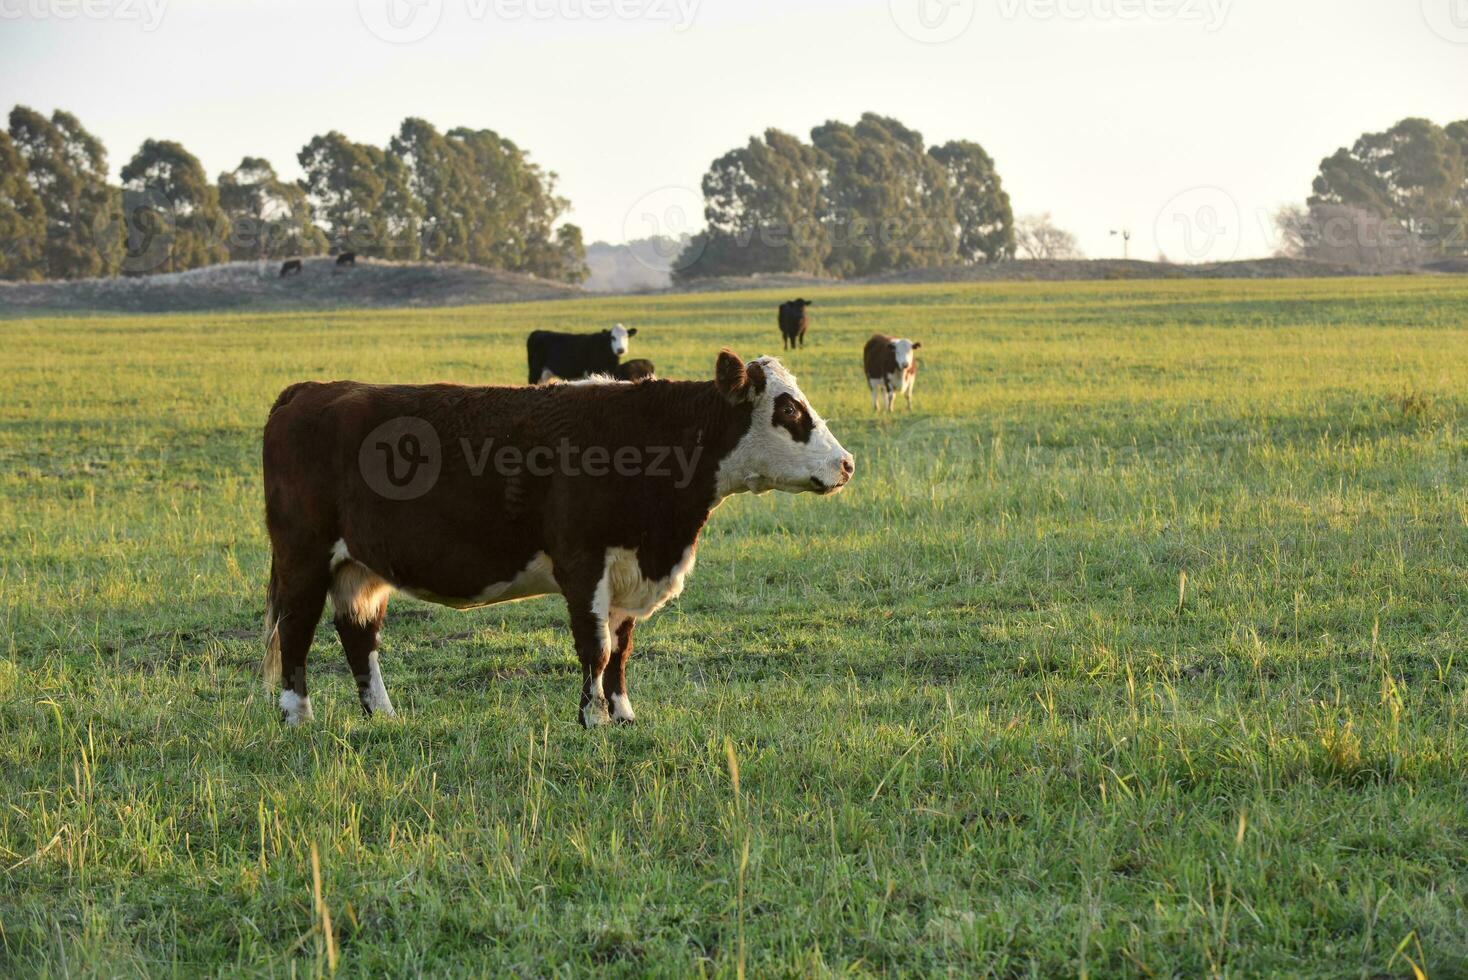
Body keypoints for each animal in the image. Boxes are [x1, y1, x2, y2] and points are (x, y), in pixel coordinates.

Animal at [264, 350, 857, 727]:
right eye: (788, 409)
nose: (847, 463)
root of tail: (312, 391)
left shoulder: (627, 571)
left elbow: (621, 649)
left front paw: (623, 715)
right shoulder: (583, 562)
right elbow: (595, 647)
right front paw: (590, 719)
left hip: (360, 567)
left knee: (357, 635)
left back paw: (384, 716)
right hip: (303, 556)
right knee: (296, 630)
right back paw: (298, 717)